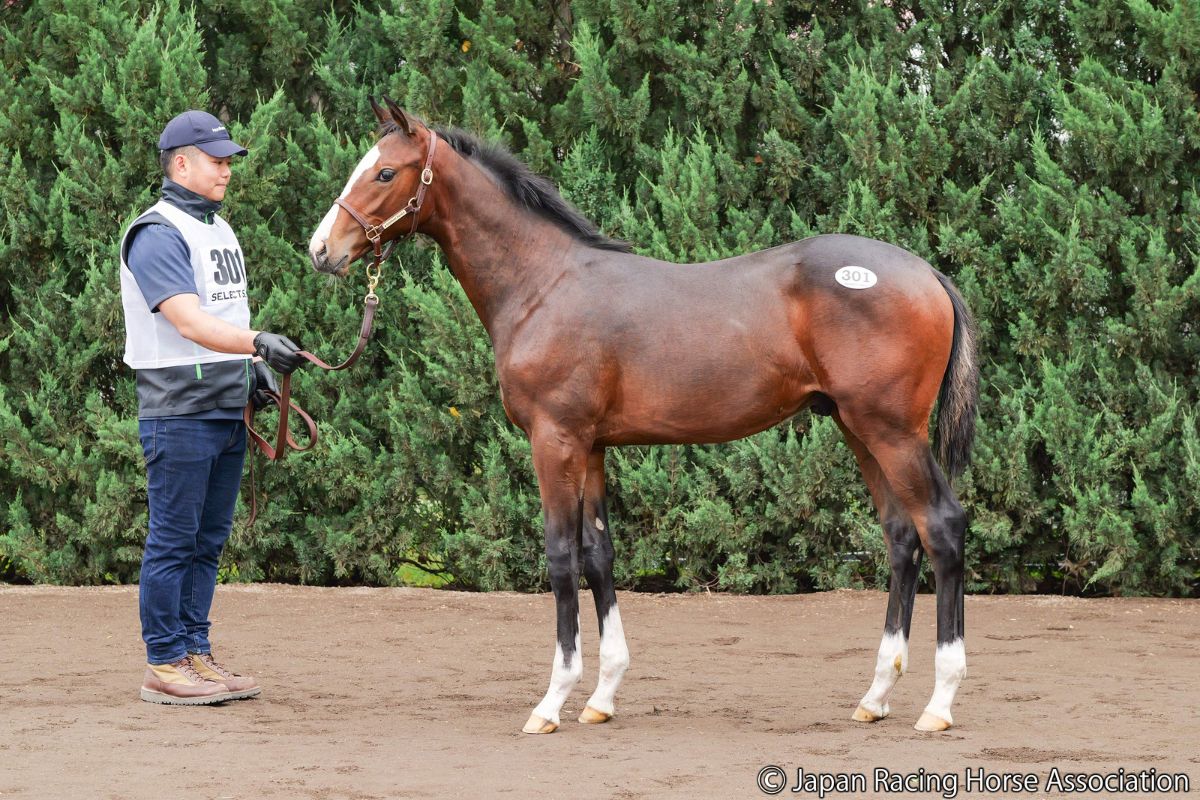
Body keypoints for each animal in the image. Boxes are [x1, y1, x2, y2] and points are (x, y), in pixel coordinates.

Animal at [307, 98, 979, 735]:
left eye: (385, 172)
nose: (321, 250)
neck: (544, 285)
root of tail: (928, 273)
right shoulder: (592, 446)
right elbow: (599, 555)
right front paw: (601, 698)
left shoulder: (555, 440)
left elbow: (560, 556)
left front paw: (551, 702)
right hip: (857, 429)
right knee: (901, 537)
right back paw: (876, 696)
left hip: (891, 432)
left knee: (942, 527)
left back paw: (940, 704)